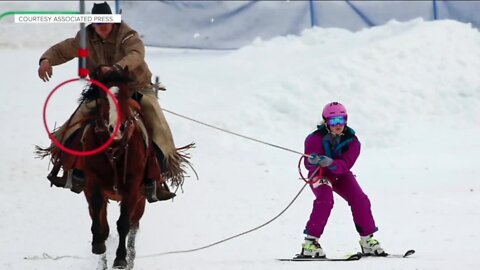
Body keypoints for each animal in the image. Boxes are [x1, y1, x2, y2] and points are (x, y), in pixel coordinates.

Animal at [80, 67, 152, 268]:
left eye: (126, 95)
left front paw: (121, 258)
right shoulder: (92, 183)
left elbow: (124, 224)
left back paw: (130, 258)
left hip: (141, 200)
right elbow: (100, 221)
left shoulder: (132, 190)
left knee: (134, 226)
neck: (114, 150)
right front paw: (98, 244)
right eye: (102, 97)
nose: (116, 128)